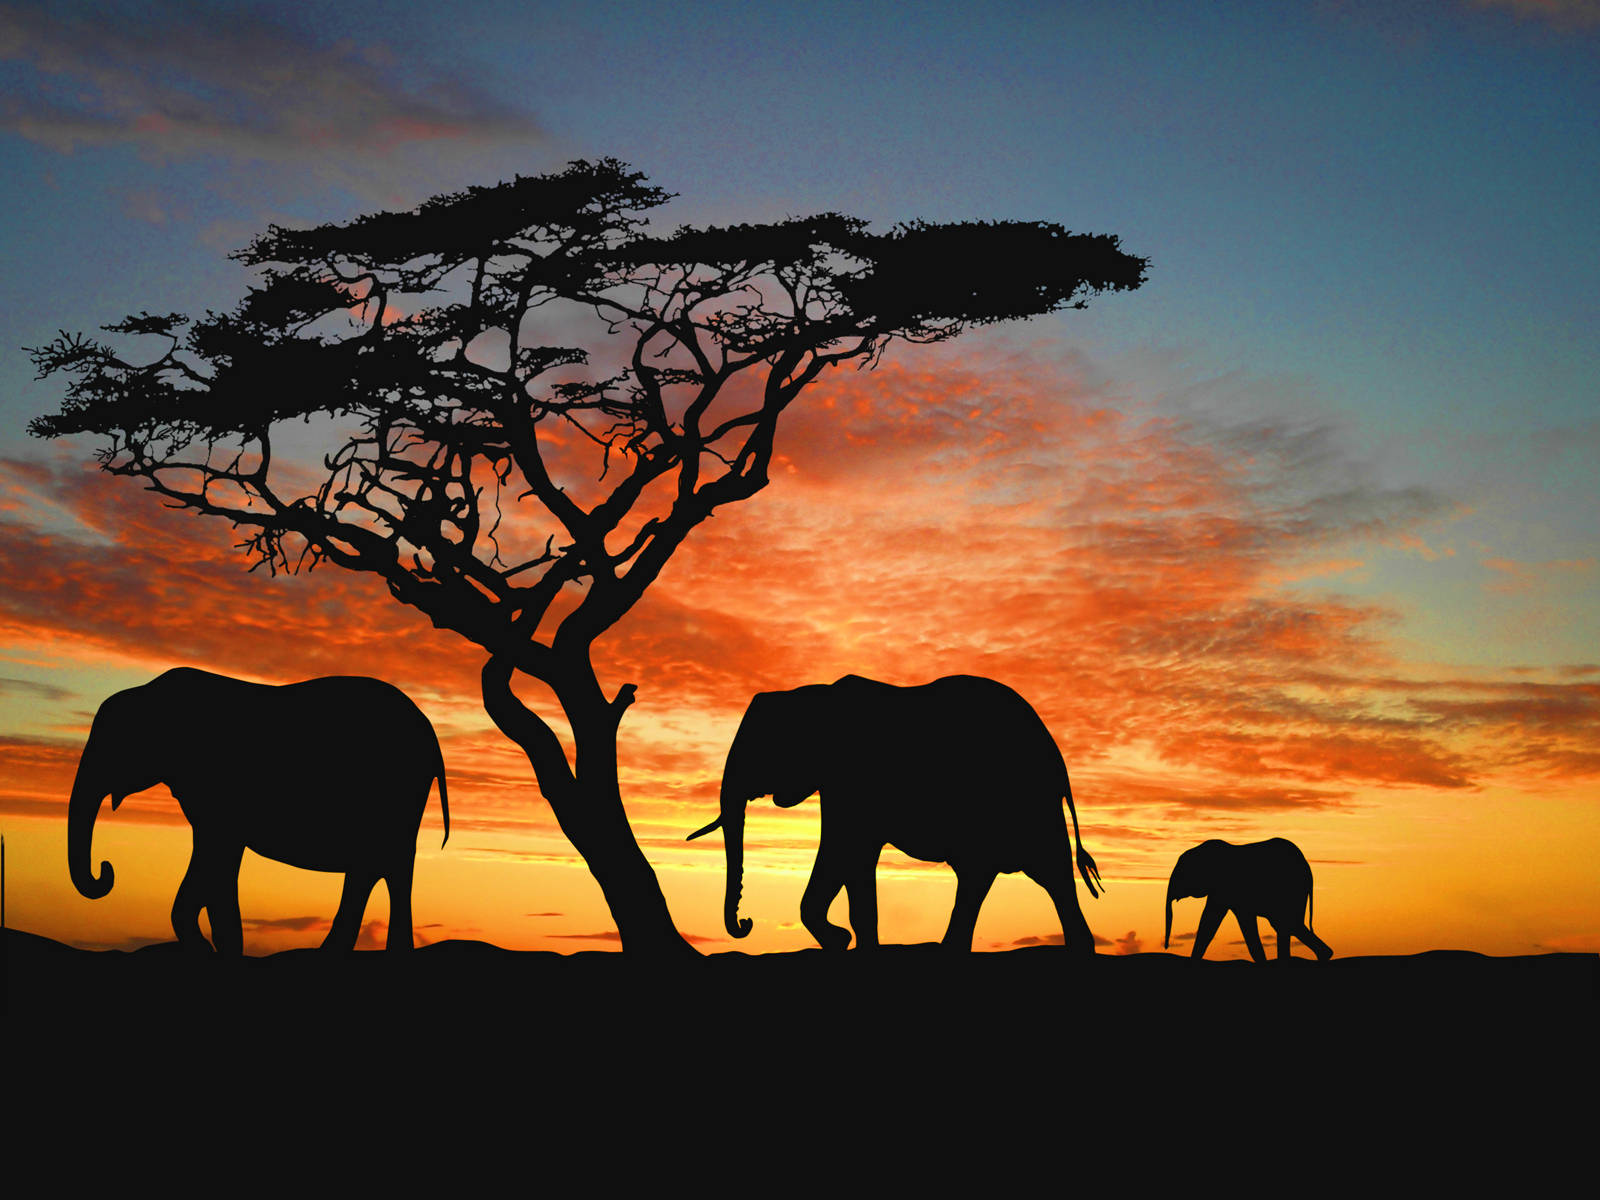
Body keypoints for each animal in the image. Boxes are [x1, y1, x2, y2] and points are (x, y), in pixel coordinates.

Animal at [65, 672, 448, 953]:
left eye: (111, 745)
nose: (106, 870)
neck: (151, 692)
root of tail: (430, 734)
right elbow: (211, 860)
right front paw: (208, 947)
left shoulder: (218, 791)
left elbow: (218, 857)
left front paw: (217, 949)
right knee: (380, 867)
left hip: (394, 794)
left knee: (383, 865)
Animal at [688, 678, 1100, 947]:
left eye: (758, 750)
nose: (745, 922)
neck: (811, 694)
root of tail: (1058, 759)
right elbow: (849, 860)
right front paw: (844, 941)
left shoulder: (852, 782)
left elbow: (844, 850)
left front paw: (842, 939)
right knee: (1001, 879)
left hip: (1027, 806)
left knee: (1044, 875)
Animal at [1171, 838, 1331, 966]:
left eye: (1181, 872)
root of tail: (1308, 868)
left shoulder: (1226, 888)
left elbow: (1214, 920)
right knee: (1287, 925)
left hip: (1292, 892)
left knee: (1288, 924)